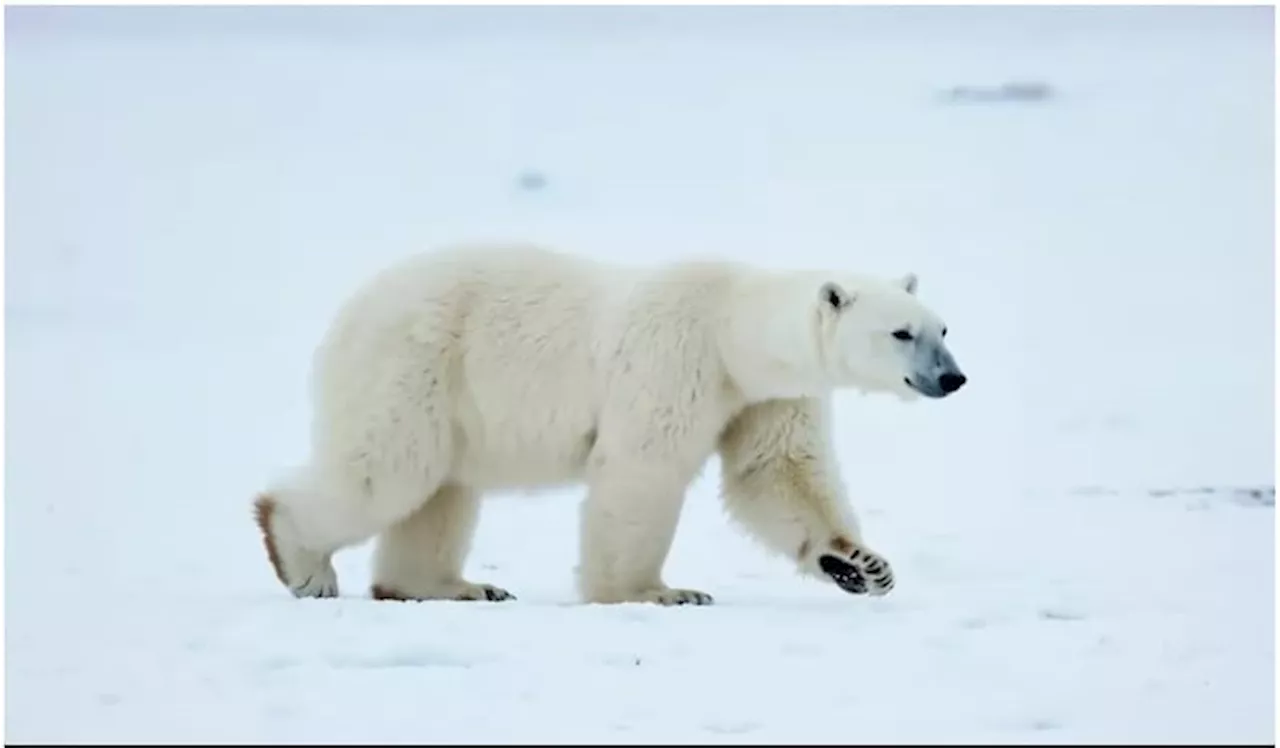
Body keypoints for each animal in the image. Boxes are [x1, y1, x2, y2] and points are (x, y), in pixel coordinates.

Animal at [252, 242, 967, 604]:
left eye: (942, 328)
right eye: (901, 333)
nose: (953, 378)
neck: (733, 329)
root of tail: (352, 306)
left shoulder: (765, 396)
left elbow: (776, 472)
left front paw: (863, 565)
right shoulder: (677, 360)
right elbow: (642, 472)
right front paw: (655, 593)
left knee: (440, 491)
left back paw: (453, 587)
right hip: (413, 363)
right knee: (390, 467)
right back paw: (301, 561)